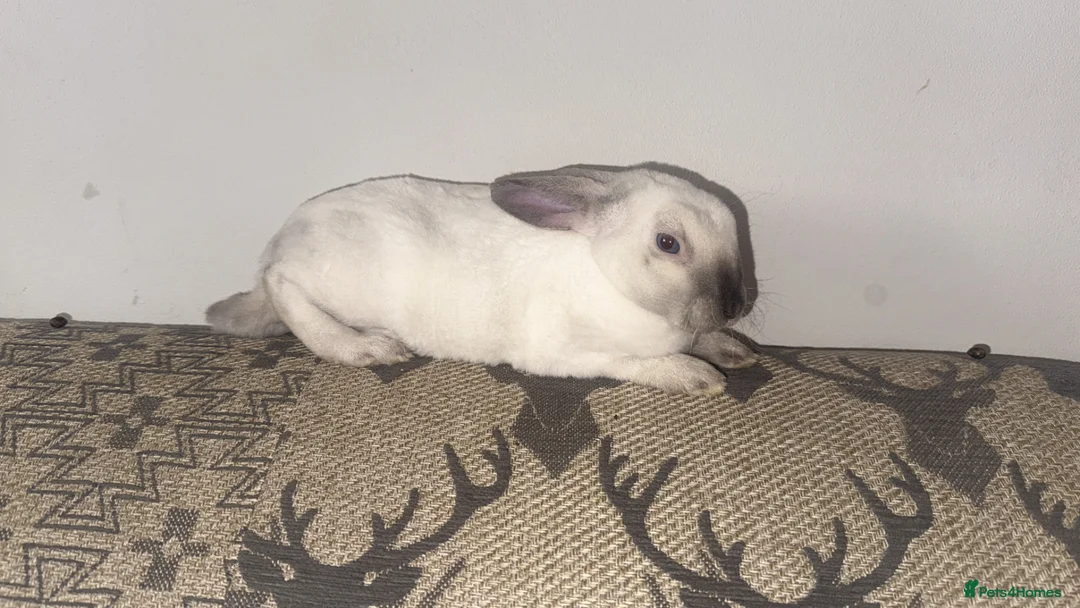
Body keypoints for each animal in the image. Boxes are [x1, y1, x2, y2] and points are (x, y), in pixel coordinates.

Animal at [206, 164, 757, 394]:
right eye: (668, 244)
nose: (736, 307)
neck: (609, 276)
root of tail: (285, 237)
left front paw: (733, 351)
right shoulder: (569, 354)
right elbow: (638, 363)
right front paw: (698, 377)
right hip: (337, 281)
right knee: (281, 285)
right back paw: (367, 348)